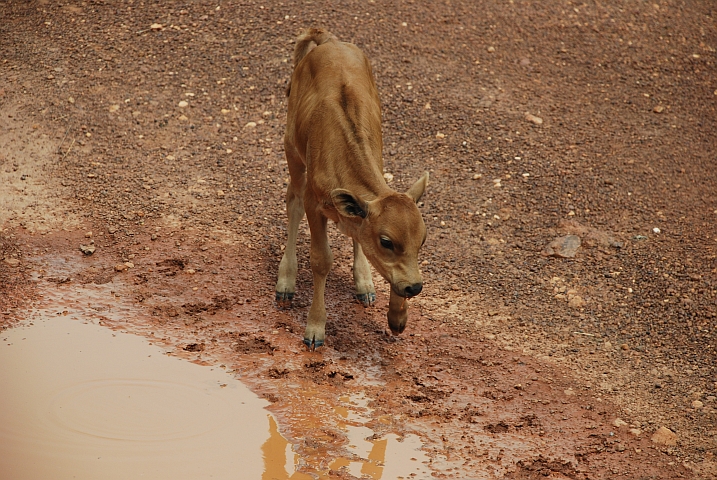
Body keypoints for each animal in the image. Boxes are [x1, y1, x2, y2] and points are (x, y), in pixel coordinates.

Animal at [276, 28, 428, 346]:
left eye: (422, 240)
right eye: (386, 241)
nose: (416, 287)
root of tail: (328, 41)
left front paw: (397, 318)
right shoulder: (314, 204)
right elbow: (321, 260)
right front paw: (315, 329)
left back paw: (364, 283)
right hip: (291, 149)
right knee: (292, 201)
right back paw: (285, 281)